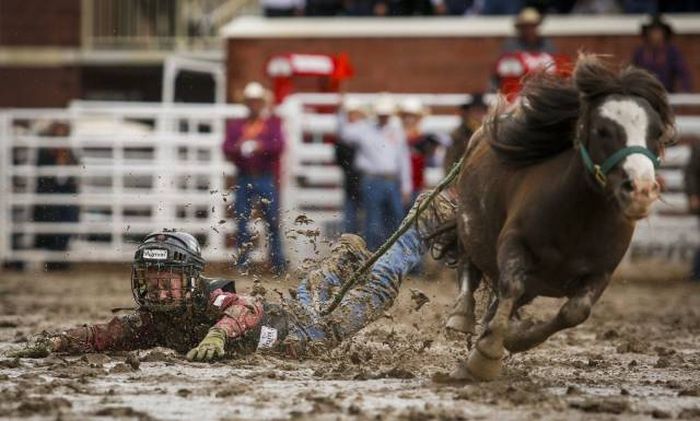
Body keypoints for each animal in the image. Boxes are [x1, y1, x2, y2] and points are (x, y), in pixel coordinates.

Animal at [446, 53, 676, 380]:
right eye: (603, 130)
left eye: (656, 132)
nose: (641, 190)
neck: (576, 218)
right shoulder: (514, 243)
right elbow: (511, 285)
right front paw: (484, 358)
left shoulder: (601, 272)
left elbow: (574, 312)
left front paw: (514, 338)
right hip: (471, 231)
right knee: (470, 266)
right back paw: (462, 316)